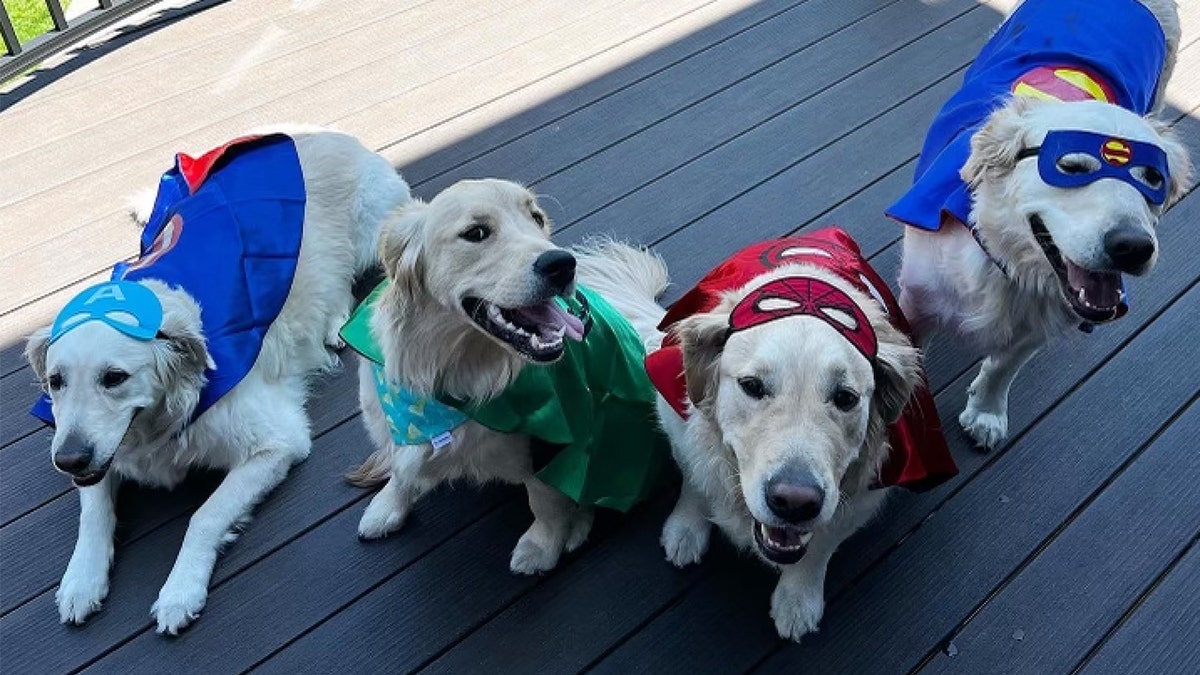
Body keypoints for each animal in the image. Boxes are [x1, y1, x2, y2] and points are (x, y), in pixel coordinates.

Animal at [21, 124, 408, 629]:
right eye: (55, 381)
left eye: (114, 377)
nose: (67, 460)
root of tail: (316, 132)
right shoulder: (94, 452)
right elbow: (93, 512)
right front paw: (81, 581)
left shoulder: (278, 441)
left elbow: (204, 516)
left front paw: (180, 590)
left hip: (374, 230)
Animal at [343, 177, 672, 571]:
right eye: (476, 233)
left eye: (537, 218)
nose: (563, 263)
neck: (448, 374)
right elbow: (399, 464)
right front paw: (388, 504)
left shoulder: (552, 442)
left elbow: (545, 498)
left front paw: (542, 545)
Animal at [576, 228, 960, 638]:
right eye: (752, 386)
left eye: (846, 398)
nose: (794, 502)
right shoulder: (678, 421)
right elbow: (695, 482)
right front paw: (685, 529)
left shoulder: (865, 493)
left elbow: (820, 545)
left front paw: (798, 599)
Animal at [892, 1, 1190, 451]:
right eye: (1071, 167)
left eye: (1153, 178)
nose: (1133, 247)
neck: (1004, 262)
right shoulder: (916, 302)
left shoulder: (1041, 321)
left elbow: (1003, 367)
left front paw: (986, 412)